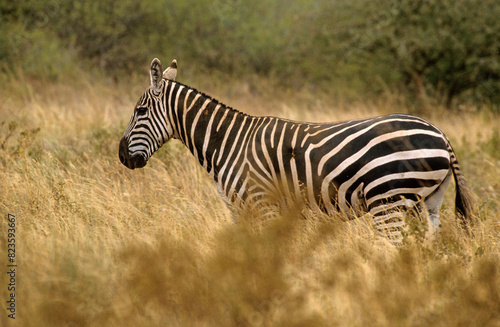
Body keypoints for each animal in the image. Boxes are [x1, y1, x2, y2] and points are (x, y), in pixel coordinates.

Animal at [119, 58, 474, 243]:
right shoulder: (247, 210)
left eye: (139, 111)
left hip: (388, 201)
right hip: (428, 202)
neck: (229, 142)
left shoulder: (260, 203)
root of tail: (441, 134)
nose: (122, 157)